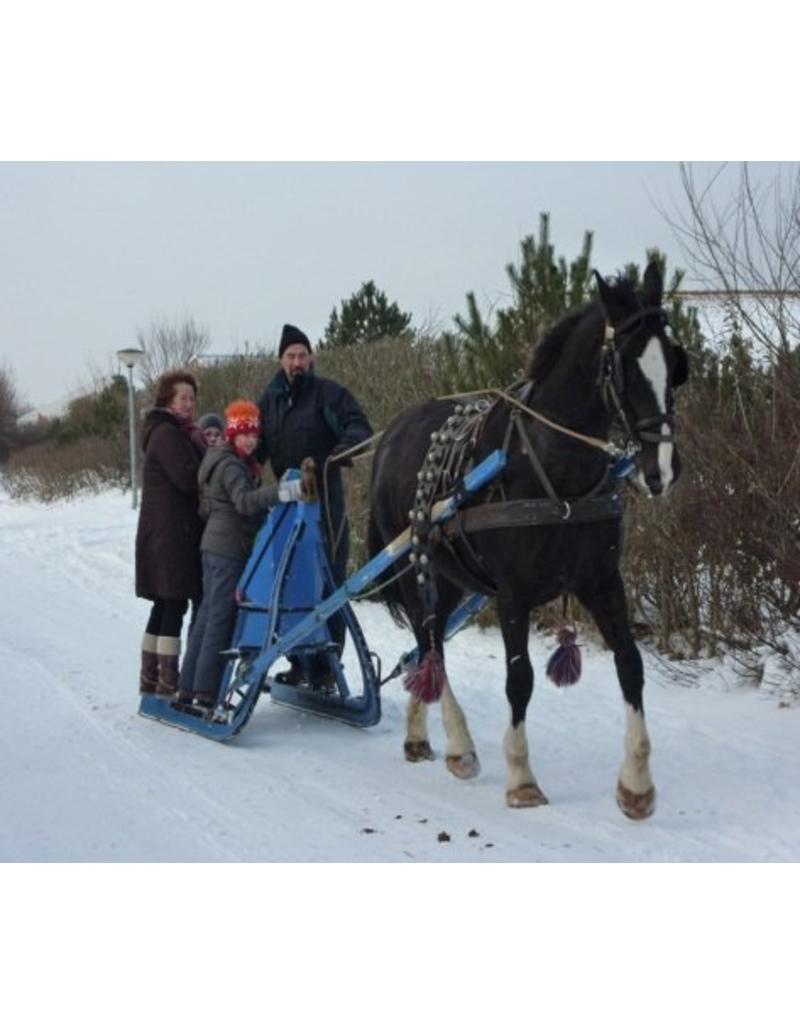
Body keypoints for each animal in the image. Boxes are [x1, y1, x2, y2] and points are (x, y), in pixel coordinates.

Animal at [368, 262, 688, 815]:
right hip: (412, 568)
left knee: (429, 646)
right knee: (431, 645)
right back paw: (459, 745)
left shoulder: (603, 580)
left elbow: (630, 665)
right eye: (624, 365)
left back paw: (418, 735)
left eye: (674, 361)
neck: (555, 472)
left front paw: (637, 785)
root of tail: (392, 433)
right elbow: (519, 679)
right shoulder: (513, 594)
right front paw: (521, 778)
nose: (661, 470)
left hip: (447, 576)